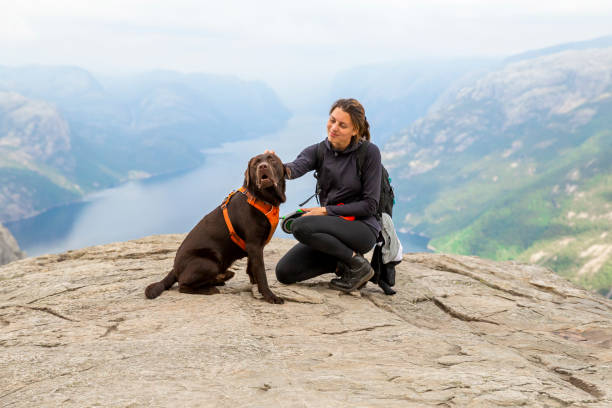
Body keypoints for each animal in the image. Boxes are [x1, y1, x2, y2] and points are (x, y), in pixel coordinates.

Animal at [145, 152, 286, 302]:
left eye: (271, 159)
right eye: (255, 163)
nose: (263, 166)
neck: (261, 199)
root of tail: (175, 268)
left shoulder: (254, 248)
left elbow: (251, 268)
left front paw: (255, 285)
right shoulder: (254, 246)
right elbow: (261, 273)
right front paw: (270, 296)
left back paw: (221, 278)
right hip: (210, 262)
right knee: (182, 285)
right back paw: (210, 289)